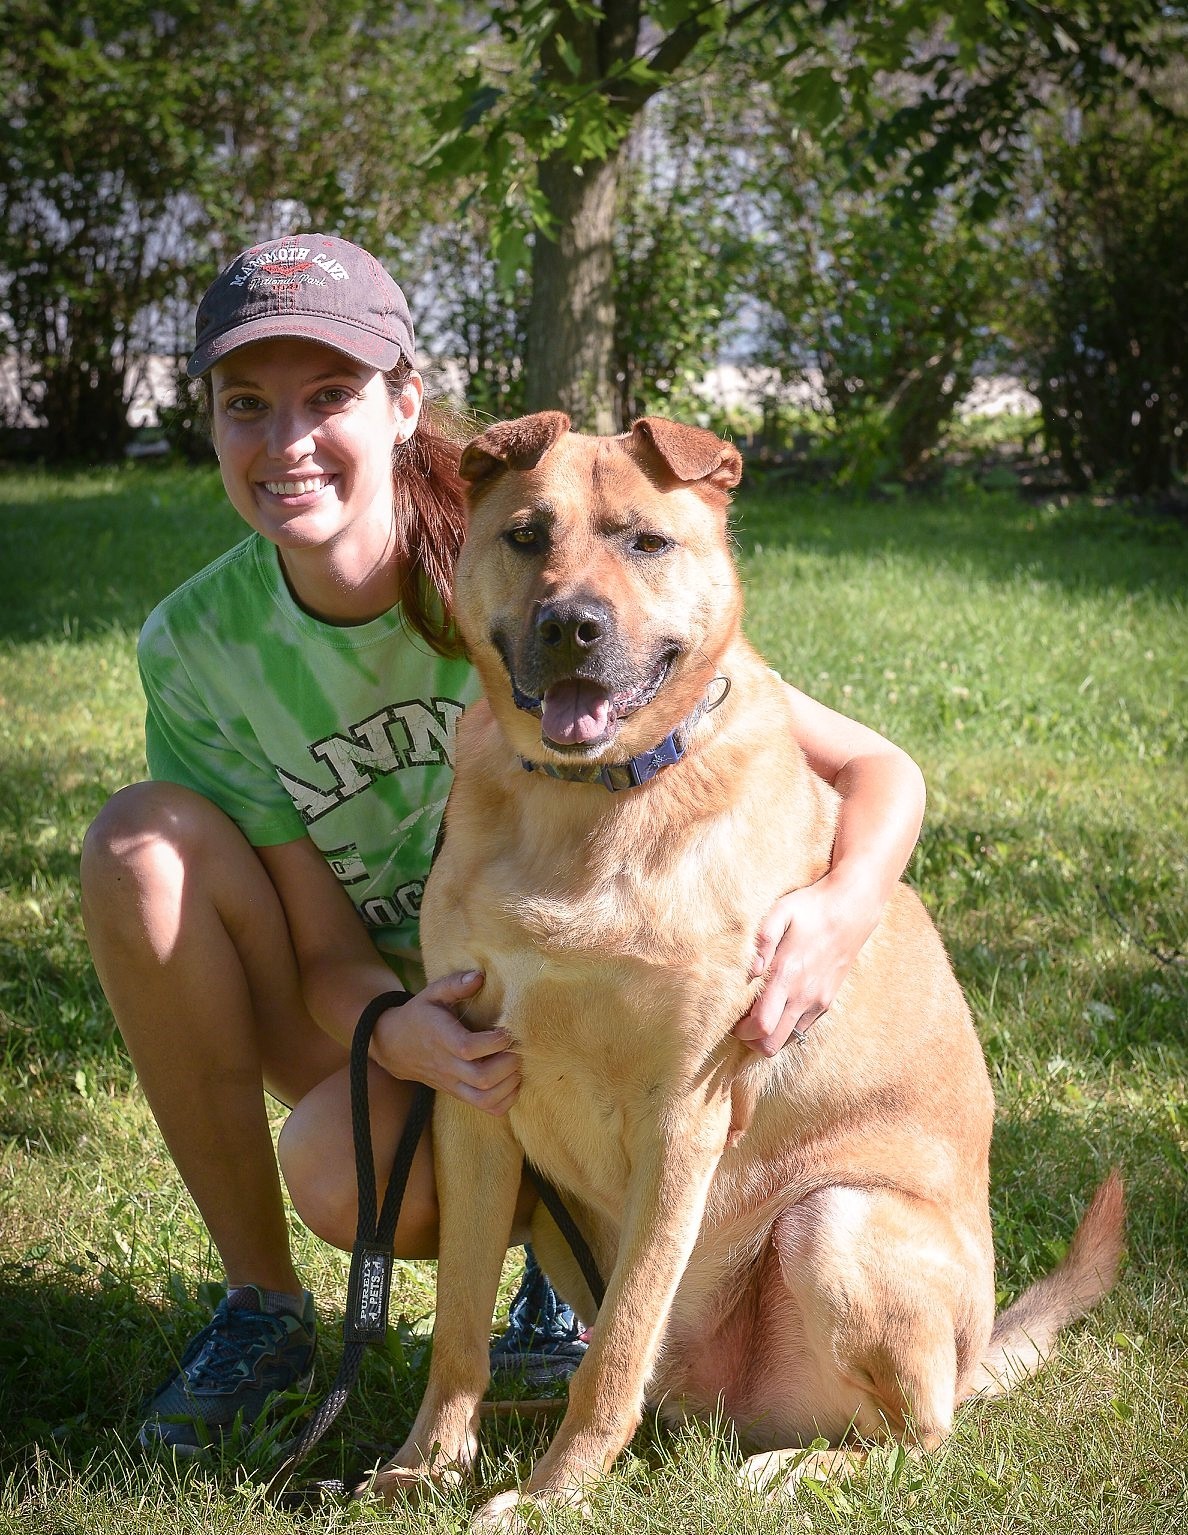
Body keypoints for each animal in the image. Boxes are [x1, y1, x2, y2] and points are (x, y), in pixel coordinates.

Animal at [377, 411, 1129, 1522]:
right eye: (526, 535)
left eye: (646, 541)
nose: (571, 626)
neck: (588, 803)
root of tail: (973, 1356)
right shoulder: (472, 1096)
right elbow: (462, 1325)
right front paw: (428, 1462)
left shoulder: (682, 1117)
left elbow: (614, 1352)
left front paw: (551, 1497)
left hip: (834, 1220)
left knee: (919, 1437)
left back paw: (795, 1467)